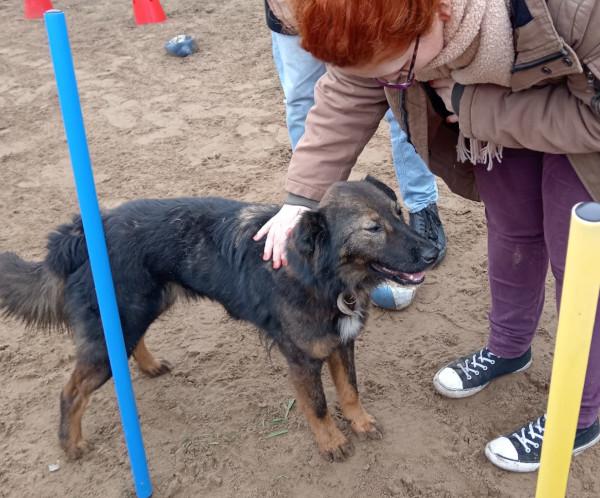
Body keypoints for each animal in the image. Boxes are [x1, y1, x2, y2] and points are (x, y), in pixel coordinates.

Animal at [0, 176, 437, 462]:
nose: (433, 252)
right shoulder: (302, 358)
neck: (323, 274)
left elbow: (350, 391)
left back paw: (149, 366)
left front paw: (361, 424)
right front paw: (331, 442)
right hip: (116, 330)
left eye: (399, 212)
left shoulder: (342, 343)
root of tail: (77, 236)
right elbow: (317, 405)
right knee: (70, 392)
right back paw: (71, 445)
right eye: (373, 228)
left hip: (140, 310)